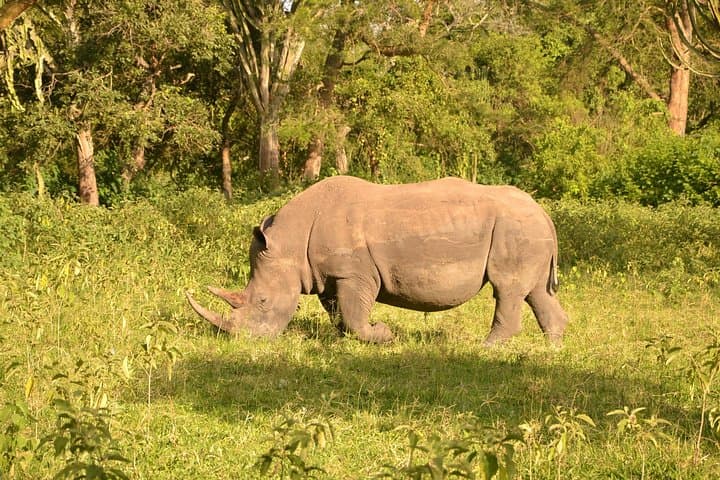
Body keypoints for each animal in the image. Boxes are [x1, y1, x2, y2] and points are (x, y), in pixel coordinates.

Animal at [186, 175, 568, 345]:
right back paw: (552, 348)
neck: (291, 244)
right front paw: (347, 340)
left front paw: (382, 335)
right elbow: (340, 313)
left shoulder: (354, 274)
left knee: (507, 289)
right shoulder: (328, 275)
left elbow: (355, 313)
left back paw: (484, 349)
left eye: (263, 301)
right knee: (535, 291)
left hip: (515, 228)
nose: (242, 340)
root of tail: (543, 212)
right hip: (527, 230)